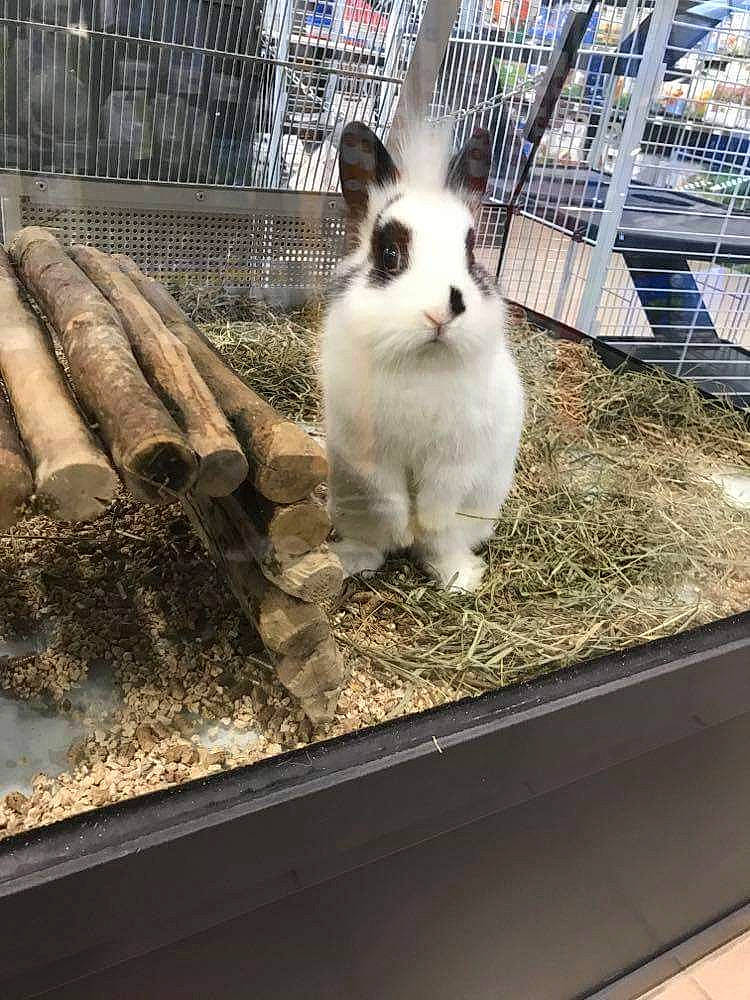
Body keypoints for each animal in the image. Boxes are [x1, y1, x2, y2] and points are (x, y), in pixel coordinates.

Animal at [320, 120, 524, 593]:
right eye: (389, 254)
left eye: (472, 253)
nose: (441, 312)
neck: (421, 362)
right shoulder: (368, 453)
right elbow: (389, 495)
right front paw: (402, 530)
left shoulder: (458, 455)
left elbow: (438, 500)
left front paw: (422, 525)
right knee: (373, 543)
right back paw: (352, 559)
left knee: (442, 545)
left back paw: (459, 577)